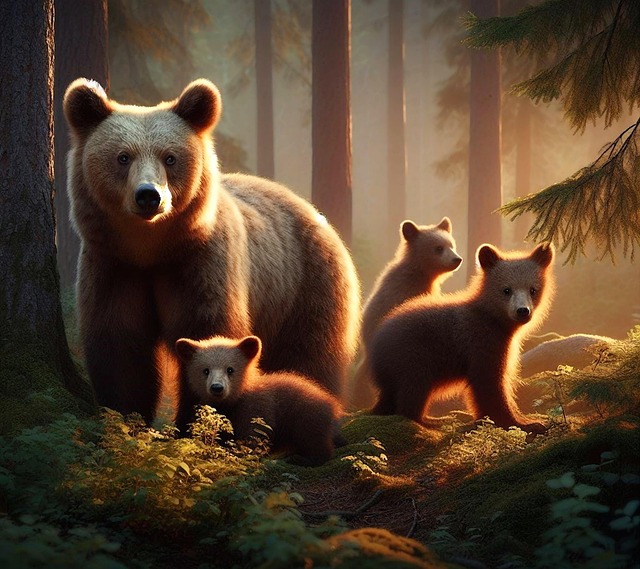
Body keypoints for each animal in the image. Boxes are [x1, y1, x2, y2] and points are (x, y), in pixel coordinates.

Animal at [63, 78, 361, 433]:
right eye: (123, 157)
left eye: (170, 157)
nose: (149, 195)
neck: (150, 249)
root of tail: (315, 212)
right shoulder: (115, 268)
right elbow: (121, 350)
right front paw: (126, 419)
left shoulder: (199, 266)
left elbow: (209, 333)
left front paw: (197, 423)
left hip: (304, 286)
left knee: (309, 357)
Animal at [175, 335, 345, 465]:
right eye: (205, 370)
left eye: (230, 369)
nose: (217, 387)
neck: (235, 400)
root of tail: (333, 405)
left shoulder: (256, 408)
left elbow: (253, 437)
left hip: (306, 416)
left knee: (314, 440)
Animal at [368, 242, 555, 434]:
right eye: (506, 289)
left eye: (533, 289)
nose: (522, 310)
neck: (495, 321)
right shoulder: (481, 341)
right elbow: (490, 383)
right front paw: (522, 422)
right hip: (413, 357)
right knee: (413, 390)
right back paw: (429, 421)